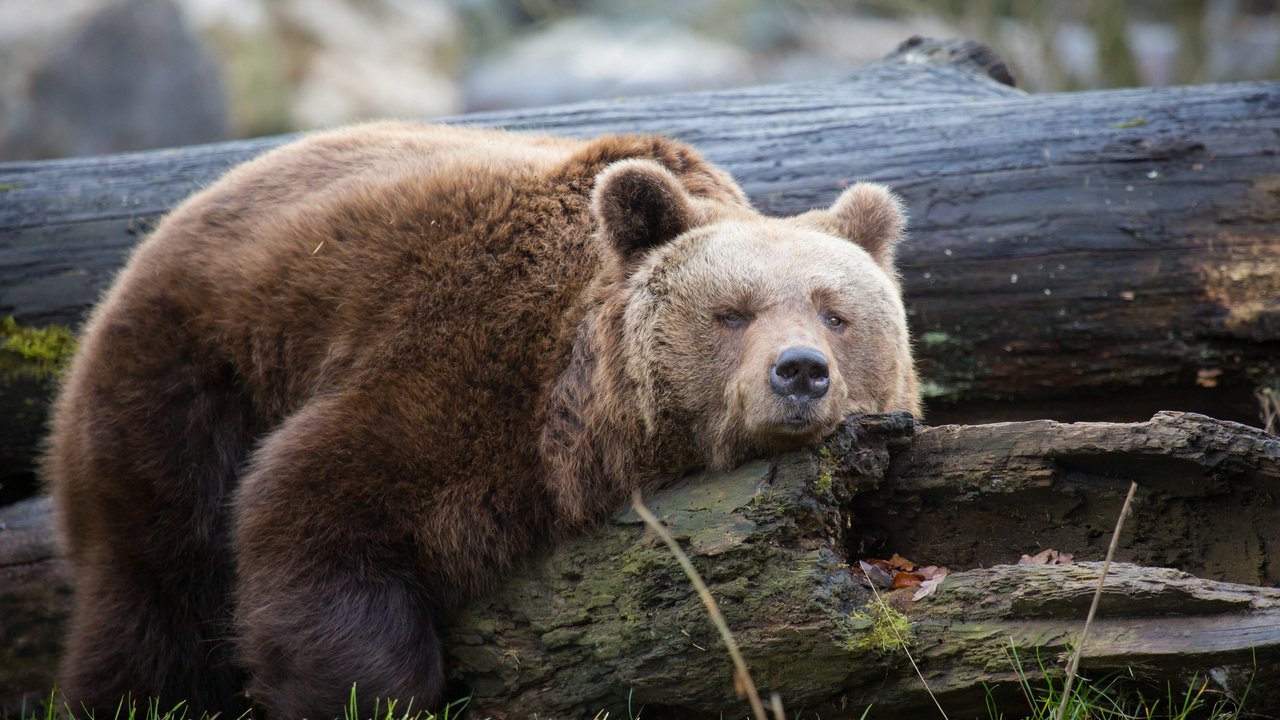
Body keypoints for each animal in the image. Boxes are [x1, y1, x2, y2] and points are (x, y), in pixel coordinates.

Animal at [42, 120, 921, 712]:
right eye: (732, 313)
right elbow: (312, 518)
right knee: (153, 593)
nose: (800, 372)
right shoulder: (453, 373)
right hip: (186, 383)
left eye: (836, 312)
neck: (579, 421)